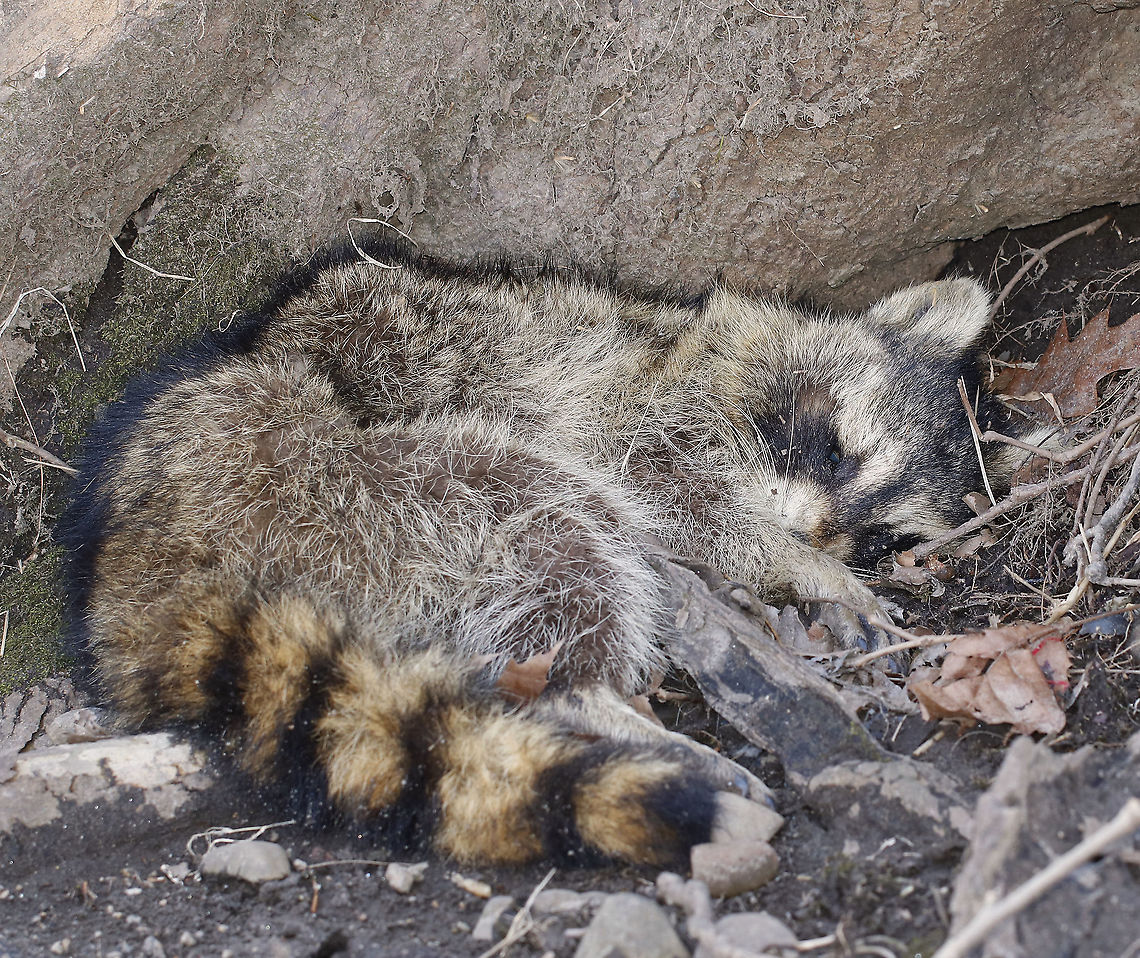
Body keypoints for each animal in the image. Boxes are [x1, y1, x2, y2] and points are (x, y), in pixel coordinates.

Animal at [59, 238, 1018, 868]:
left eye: (883, 535)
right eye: (836, 450)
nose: (821, 534)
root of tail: (145, 559)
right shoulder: (636, 412)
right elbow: (674, 498)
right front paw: (797, 565)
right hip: (348, 480)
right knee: (555, 520)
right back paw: (596, 701)